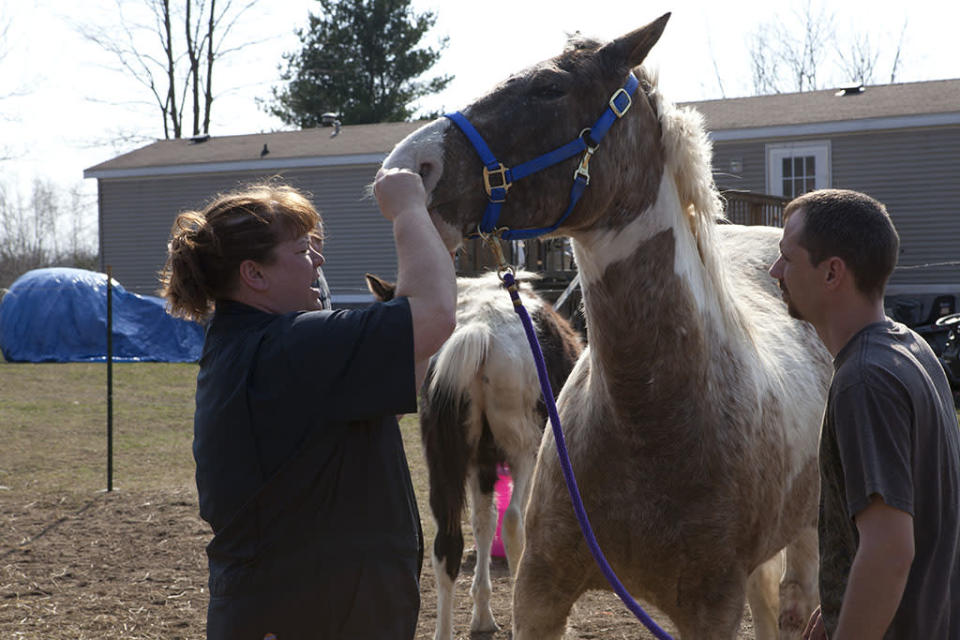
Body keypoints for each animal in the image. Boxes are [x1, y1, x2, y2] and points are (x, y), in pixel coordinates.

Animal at [382, 15, 832, 640]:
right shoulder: (540, 590)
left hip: (805, 539)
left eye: (550, 87)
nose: (407, 166)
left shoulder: (711, 608)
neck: (649, 418)